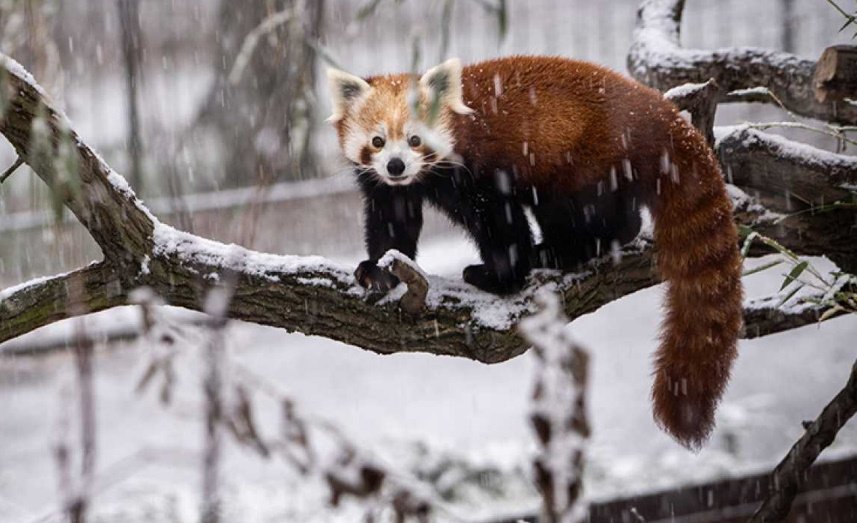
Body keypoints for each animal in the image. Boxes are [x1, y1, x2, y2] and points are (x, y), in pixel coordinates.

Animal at [328, 57, 744, 450]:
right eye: (378, 141)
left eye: (416, 139)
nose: (396, 165)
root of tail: (654, 109)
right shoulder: (389, 189)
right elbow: (392, 225)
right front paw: (378, 272)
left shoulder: (478, 172)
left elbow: (500, 224)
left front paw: (500, 278)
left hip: (580, 161)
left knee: (583, 211)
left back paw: (561, 253)